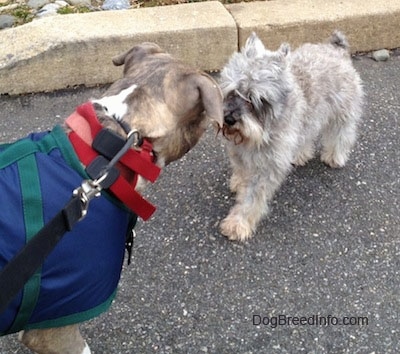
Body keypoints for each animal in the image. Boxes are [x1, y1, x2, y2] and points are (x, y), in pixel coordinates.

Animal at [217, 31, 364, 241]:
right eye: (232, 91)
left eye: (256, 100)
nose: (229, 119)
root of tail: (336, 50)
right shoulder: (239, 153)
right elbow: (241, 171)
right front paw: (239, 182)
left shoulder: (268, 167)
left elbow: (251, 198)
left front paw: (239, 223)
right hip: (308, 119)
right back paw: (300, 155)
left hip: (341, 114)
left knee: (342, 135)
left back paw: (335, 156)